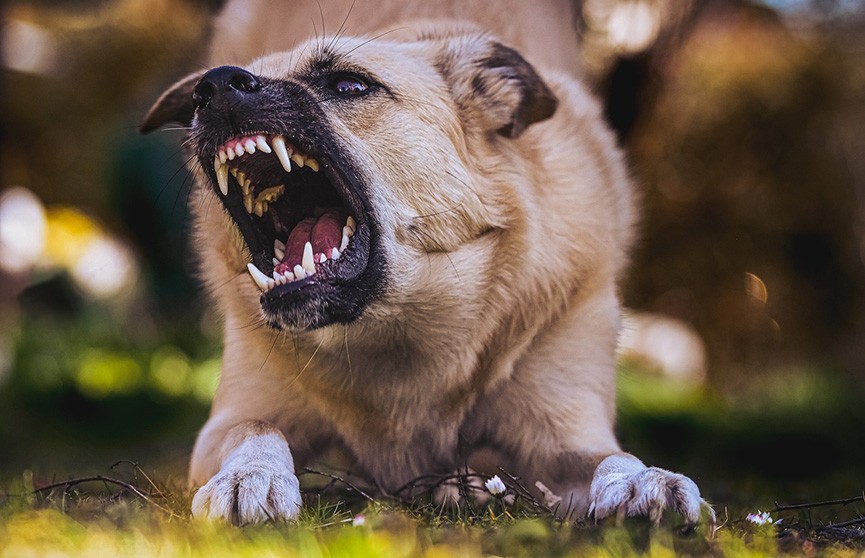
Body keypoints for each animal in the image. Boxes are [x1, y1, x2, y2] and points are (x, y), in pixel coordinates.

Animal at [140, 2, 708, 528]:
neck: (395, 331)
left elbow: (611, 456)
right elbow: (256, 429)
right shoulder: (233, 418)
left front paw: (643, 481)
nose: (213, 87)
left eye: (349, 84)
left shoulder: (565, 432)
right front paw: (249, 475)